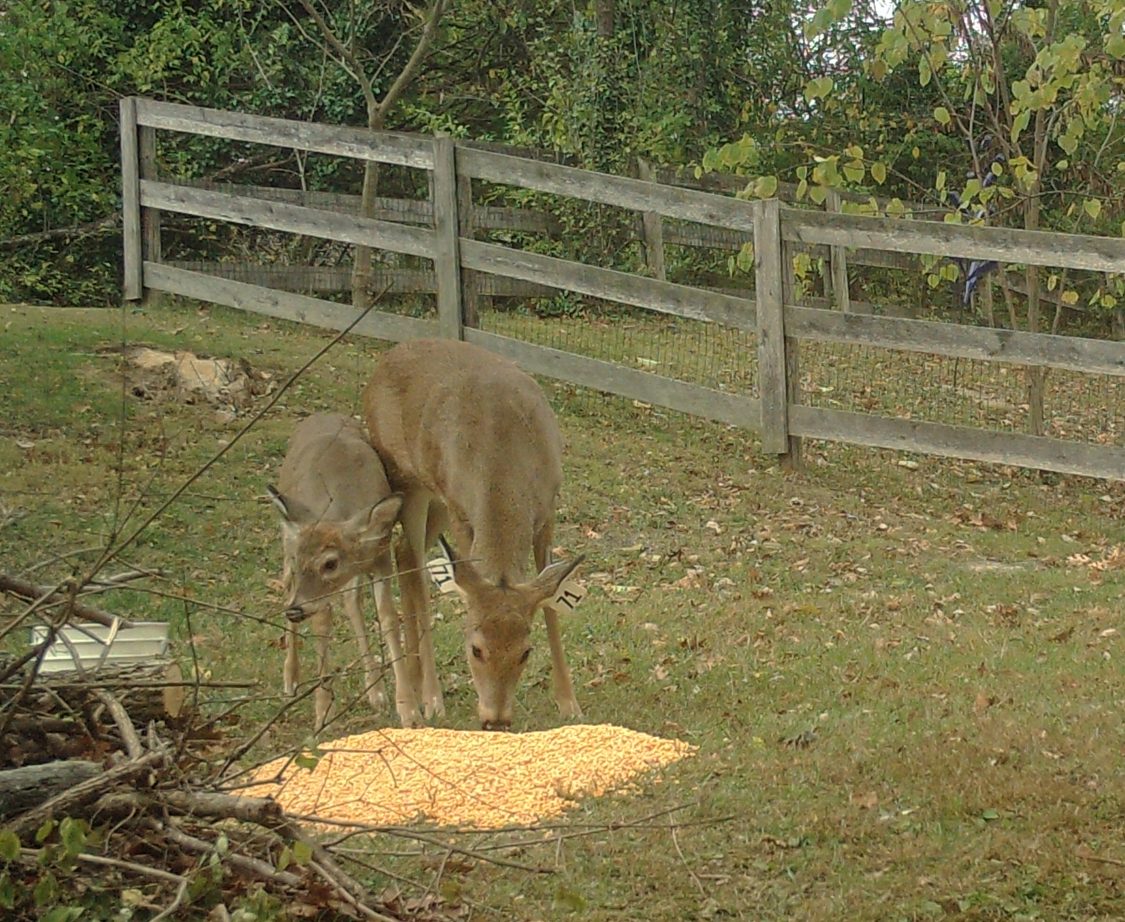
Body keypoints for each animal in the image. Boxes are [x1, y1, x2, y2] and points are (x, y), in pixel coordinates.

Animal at [267, 413, 414, 733]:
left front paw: (407, 709)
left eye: (330, 563)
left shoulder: (380, 558)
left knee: (352, 602)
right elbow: (322, 626)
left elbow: (388, 619)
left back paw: (376, 691)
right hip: (286, 542)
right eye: (302, 560)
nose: (296, 611)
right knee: (286, 589)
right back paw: (290, 680)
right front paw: (322, 713)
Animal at [362, 339, 589, 728]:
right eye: (475, 648)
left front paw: (568, 702)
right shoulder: (459, 510)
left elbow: (551, 605)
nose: (495, 720)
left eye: (526, 651)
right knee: (414, 566)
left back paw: (416, 679)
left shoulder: (547, 510)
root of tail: (387, 357)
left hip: (433, 499)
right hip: (406, 479)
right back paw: (428, 698)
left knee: (405, 554)